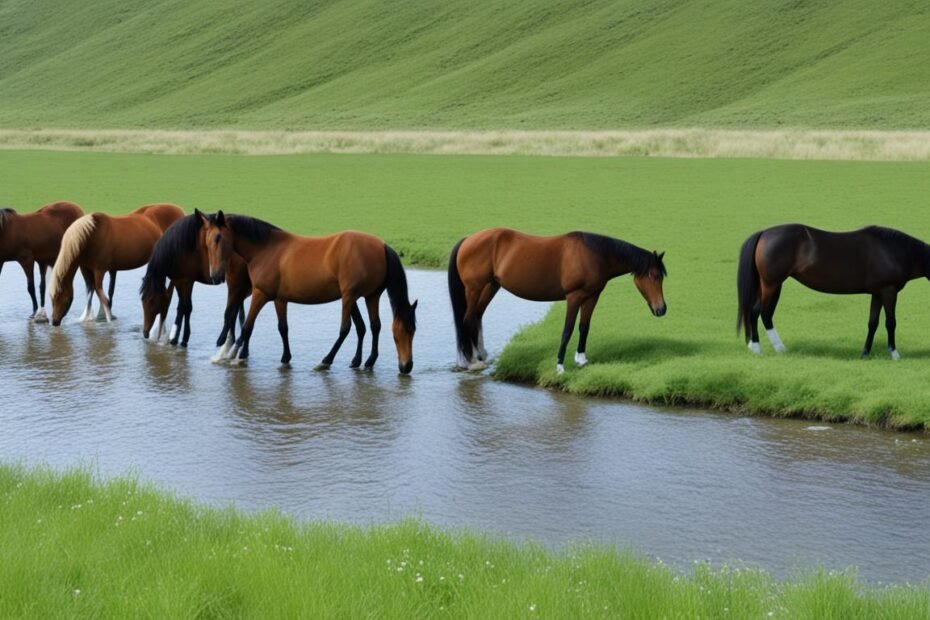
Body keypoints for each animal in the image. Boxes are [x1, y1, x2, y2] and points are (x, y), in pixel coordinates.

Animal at [49, 203, 185, 325]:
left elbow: (101, 294)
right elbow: (93, 291)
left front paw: (109, 320)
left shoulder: (99, 270)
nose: (54, 322)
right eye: (51, 298)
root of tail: (179, 211)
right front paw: (87, 318)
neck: (91, 237)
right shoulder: (87, 268)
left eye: (62, 298)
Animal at [139, 210, 250, 350]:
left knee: (233, 310)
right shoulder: (182, 281)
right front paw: (179, 337)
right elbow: (184, 307)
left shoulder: (184, 281)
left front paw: (179, 339)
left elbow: (185, 308)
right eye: (142, 300)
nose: (145, 332)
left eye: (151, 300)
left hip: (236, 283)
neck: (179, 248)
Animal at [201, 211, 418, 373]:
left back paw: (326, 361)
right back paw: (366, 361)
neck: (265, 248)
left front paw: (231, 356)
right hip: (368, 296)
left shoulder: (260, 294)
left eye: (218, 238)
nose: (215, 275)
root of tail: (382, 245)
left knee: (346, 329)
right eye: (207, 241)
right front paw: (285, 357)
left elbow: (247, 326)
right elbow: (283, 328)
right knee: (372, 326)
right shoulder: (280, 299)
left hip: (350, 297)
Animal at [448, 228, 667, 374]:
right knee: (467, 320)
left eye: (661, 276)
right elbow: (567, 330)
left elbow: (584, 327)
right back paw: (472, 362)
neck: (594, 255)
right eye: (654, 276)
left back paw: (480, 356)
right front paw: (560, 366)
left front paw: (581, 360)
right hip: (474, 289)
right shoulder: (574, 297)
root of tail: (468, 239)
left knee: (477, 317)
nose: (661, 309)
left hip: (491, 286)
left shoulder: (592, 296)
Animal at [737, 224, 930, 359]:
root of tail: (764, 233)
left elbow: (872, 323)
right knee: (759, 312)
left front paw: (865, 353)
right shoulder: (889, 291)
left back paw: (766, 347)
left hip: (771, 285)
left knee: (763, 314)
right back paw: (763, 348)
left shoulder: (877, 293)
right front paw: (894, 354)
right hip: (772, 284)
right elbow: (890, 322)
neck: (895, 250)